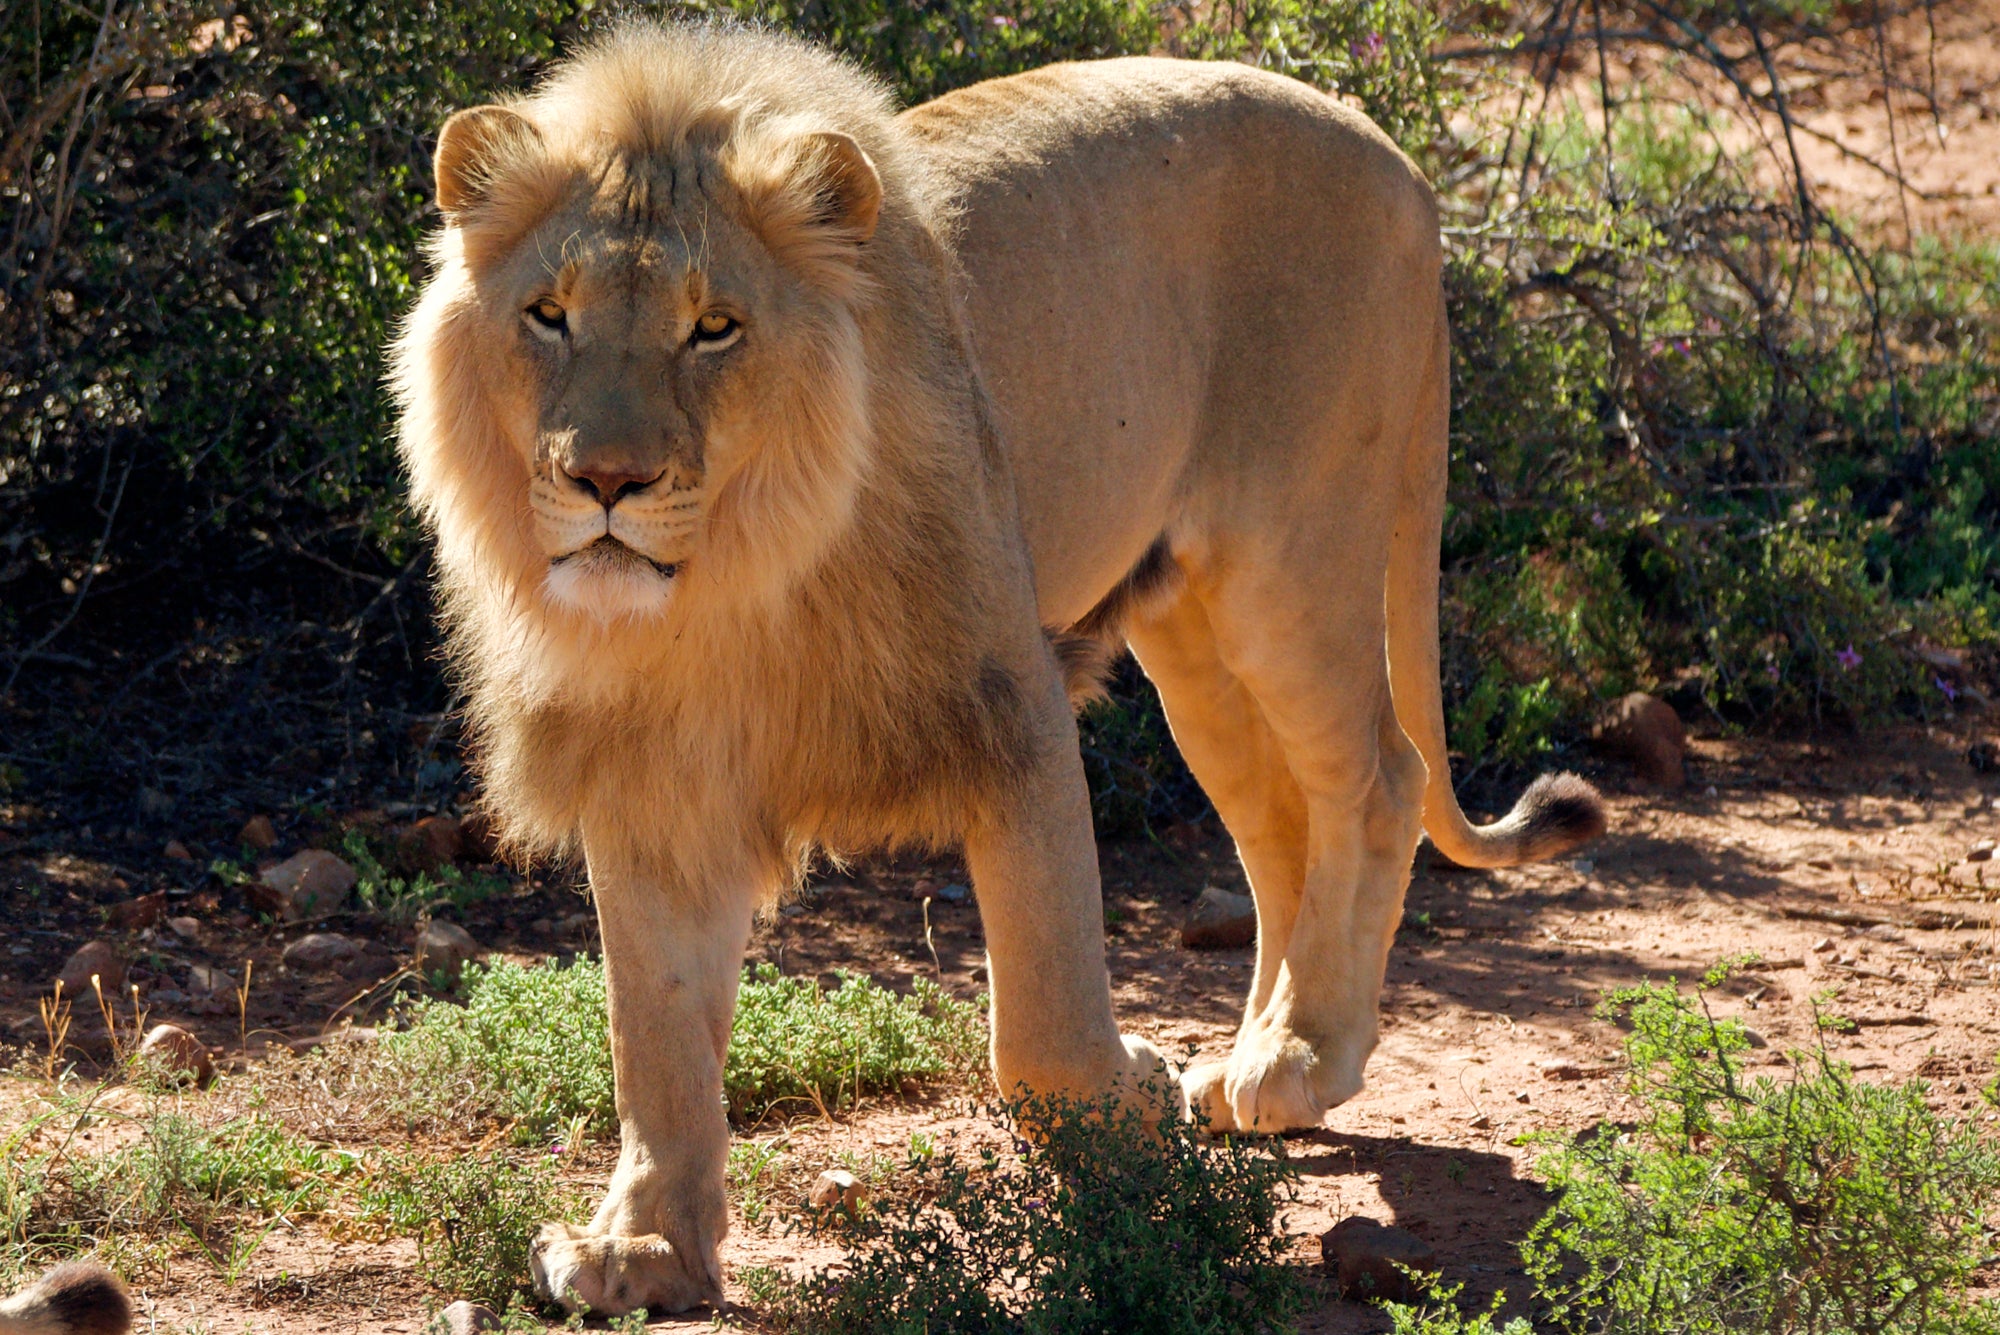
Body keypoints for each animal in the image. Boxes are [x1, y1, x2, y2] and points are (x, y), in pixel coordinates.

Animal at [391, 19, 1605, 1316]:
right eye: (548, 316)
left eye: (713, 326)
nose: (605, 480)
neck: (725, 595)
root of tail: (1390, 152)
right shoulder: (650, 778)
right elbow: (651, 1033)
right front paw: (642, 1250)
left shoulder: (1007, 704)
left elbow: (1038, 1024)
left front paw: (1130, 1098)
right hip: (1191, 631)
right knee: (1281, 824)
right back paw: (1259, 1056)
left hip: (1295, 559)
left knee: (1372, 780)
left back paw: (1300, 1057)